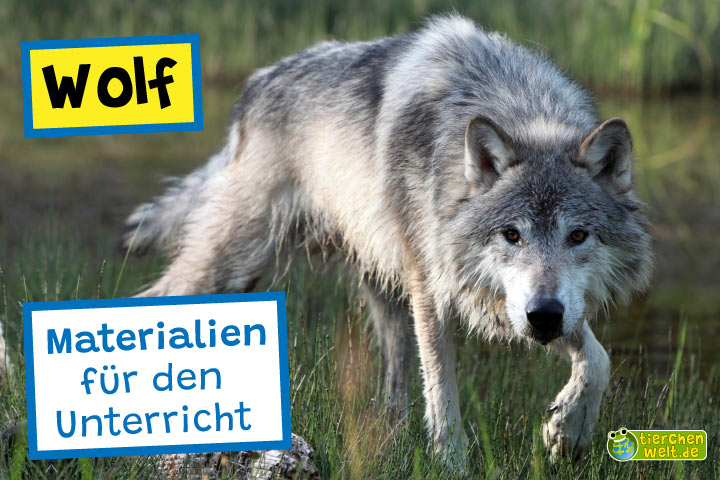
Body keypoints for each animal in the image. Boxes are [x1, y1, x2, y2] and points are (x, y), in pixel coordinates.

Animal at [120, 15, 653, 464]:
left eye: (578, 235)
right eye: (512, 234)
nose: (543, 316)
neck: (513, 102)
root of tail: (255, 86)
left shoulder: (519, 304)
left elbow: (598, 359)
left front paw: (569, 430)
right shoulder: (433, 289)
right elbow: (443, 392)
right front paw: (453, 464)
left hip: (375, 289)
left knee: (394, 380)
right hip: (233, 262)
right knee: (158, 298)